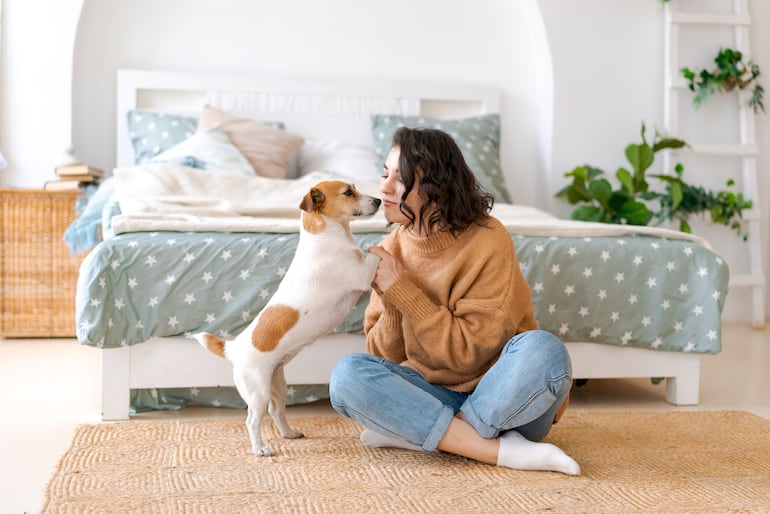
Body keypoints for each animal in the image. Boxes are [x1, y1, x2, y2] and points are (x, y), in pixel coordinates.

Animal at [194, 182, 380, 454]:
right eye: (348, 192)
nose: (379, 201)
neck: (325, 235)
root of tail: (233, 349)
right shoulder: (362, 273)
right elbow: (377, 252)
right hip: (258, 392)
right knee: (252, 420)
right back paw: (260, 449)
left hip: (278, 386)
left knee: (276, 411)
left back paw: (289, 433)